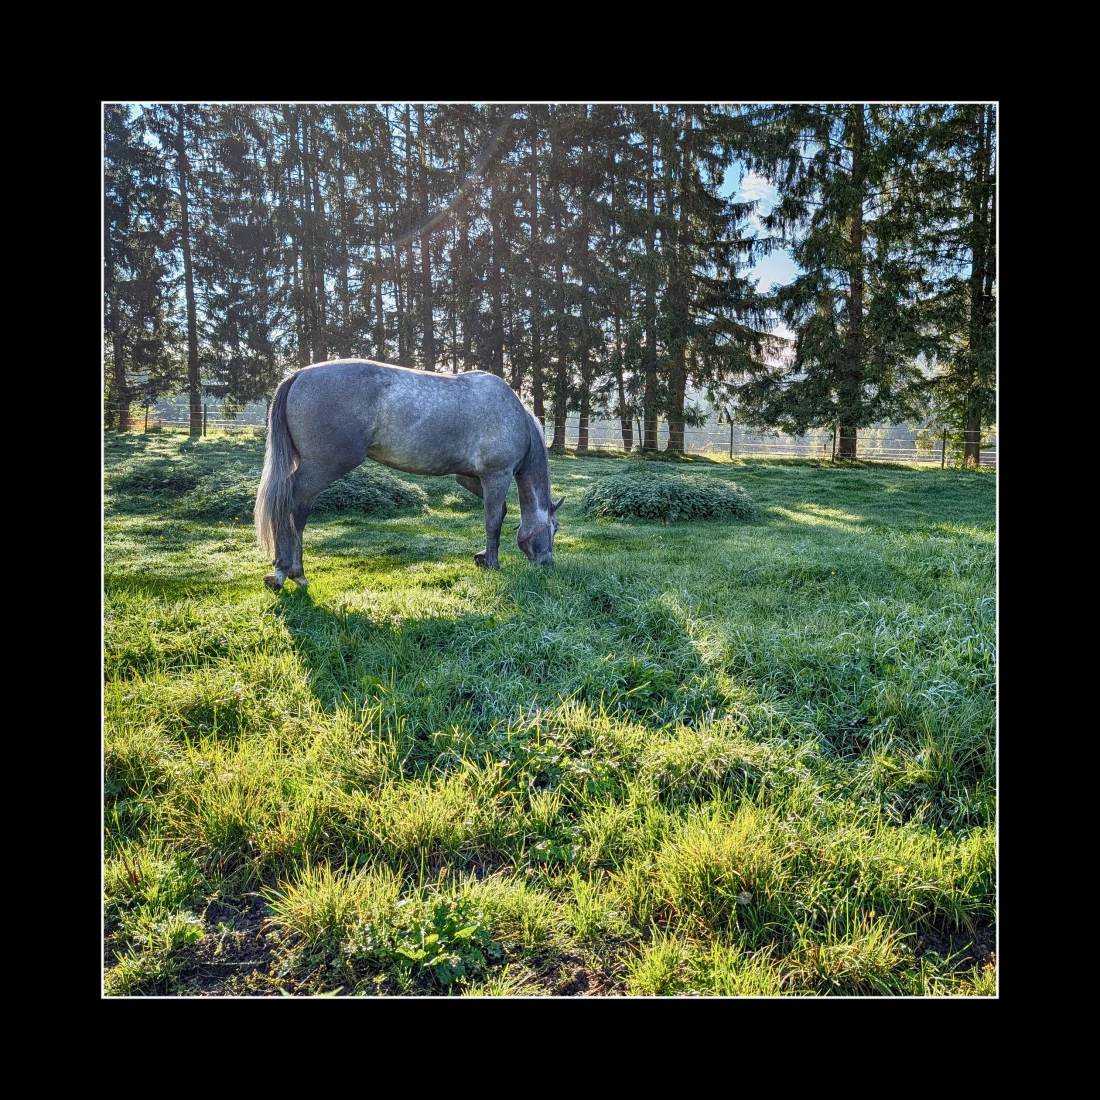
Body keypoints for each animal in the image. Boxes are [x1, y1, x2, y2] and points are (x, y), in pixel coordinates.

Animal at [254, 359, 563, 590]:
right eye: (555, 528)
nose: (547, 564)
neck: (515, 417)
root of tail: (298, 375)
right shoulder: (497, 475)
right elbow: (493, 520)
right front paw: (493, 563)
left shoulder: (470, 478)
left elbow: (500, 510)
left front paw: (483, 556)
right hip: (321, 467)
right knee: (295, 507)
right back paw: (291, 572)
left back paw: (282, 572)